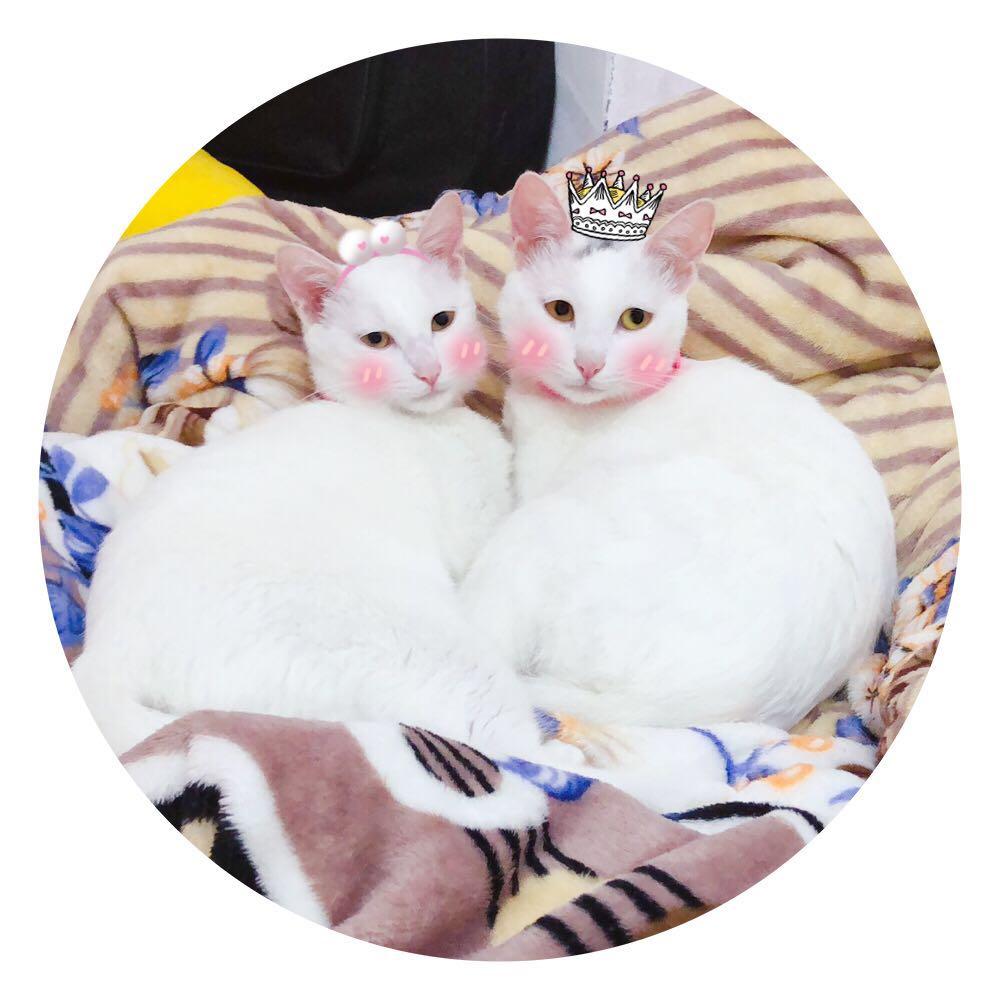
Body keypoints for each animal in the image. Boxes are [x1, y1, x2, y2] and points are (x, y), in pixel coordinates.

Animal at [73, 193, 545, 759]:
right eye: (376, 340)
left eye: (442, 321)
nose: (429, 369)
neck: (424, 422)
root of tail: (104, 655)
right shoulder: (477, 532)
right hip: (424, 653)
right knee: (523, 750)